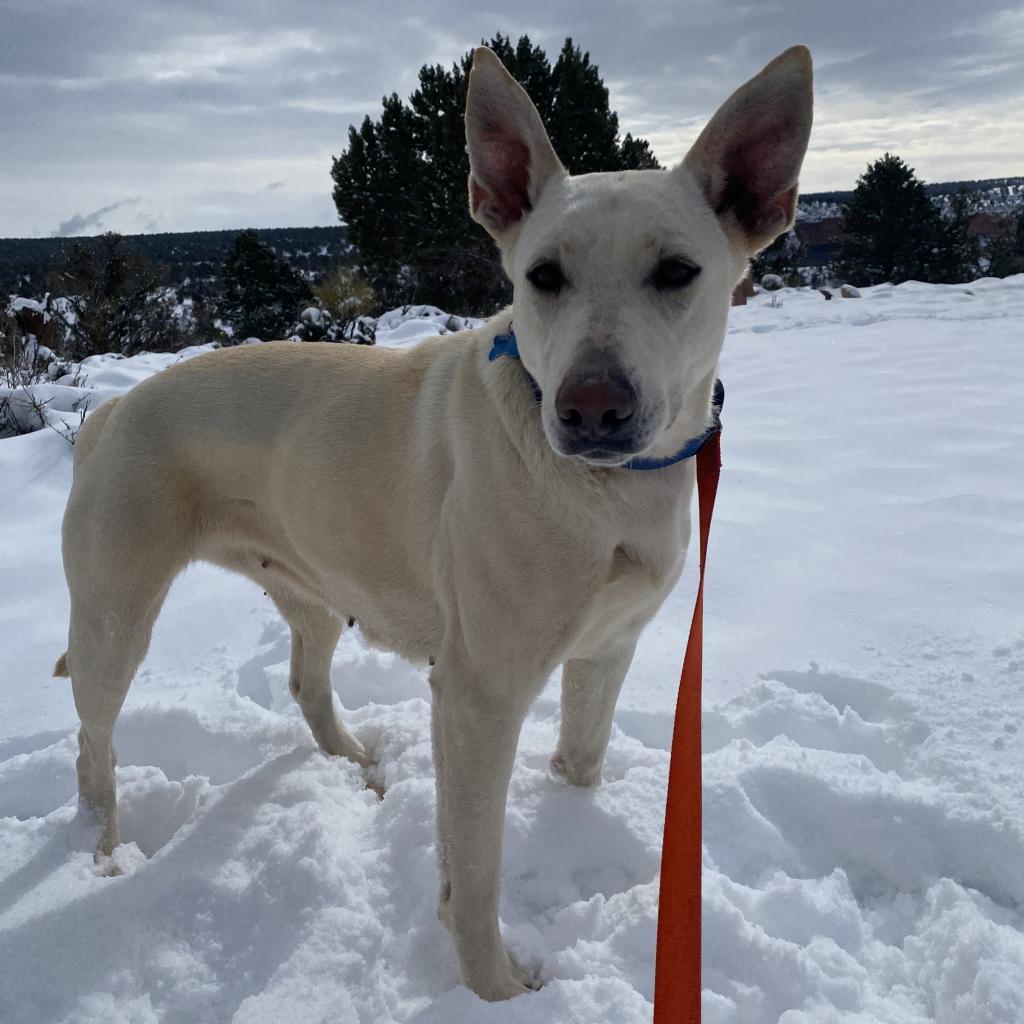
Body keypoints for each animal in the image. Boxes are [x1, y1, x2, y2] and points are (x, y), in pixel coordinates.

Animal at [58, 46, 806, 999]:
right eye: (543, 276)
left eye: (676, 272)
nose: (591, 408)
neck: (605, 492)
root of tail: (113, 409)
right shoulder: (479, 696)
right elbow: (475, 872)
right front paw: (497, 990)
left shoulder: (608, 648)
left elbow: (584, 760)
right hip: (115, 616)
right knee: (93, 743)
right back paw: (105, 852)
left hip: (309, 579)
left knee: (306, 680)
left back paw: (355, 766)